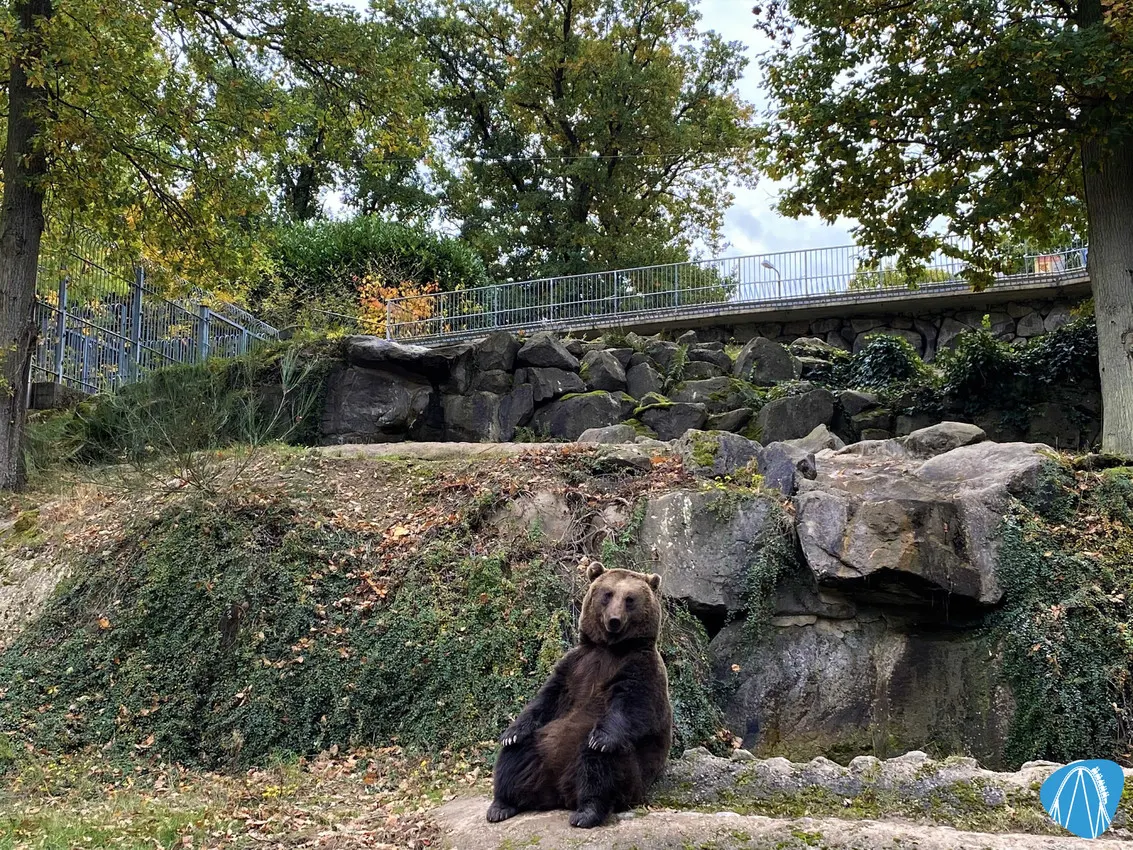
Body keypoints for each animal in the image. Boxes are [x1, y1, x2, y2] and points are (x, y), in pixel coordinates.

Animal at [486, 560, 673, 829]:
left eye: (630, 599)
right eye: (607, 594)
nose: (614, 620)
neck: (610, 648)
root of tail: (560, 793)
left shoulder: (641, 667)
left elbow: (633, 704)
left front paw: (601, 739)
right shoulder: (575, 666)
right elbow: (546, 698)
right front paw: (511, 733)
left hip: (630, 772)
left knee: (599, 765)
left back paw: (586, 811)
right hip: (540, 748)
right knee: (516, 758)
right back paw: (501, 805)